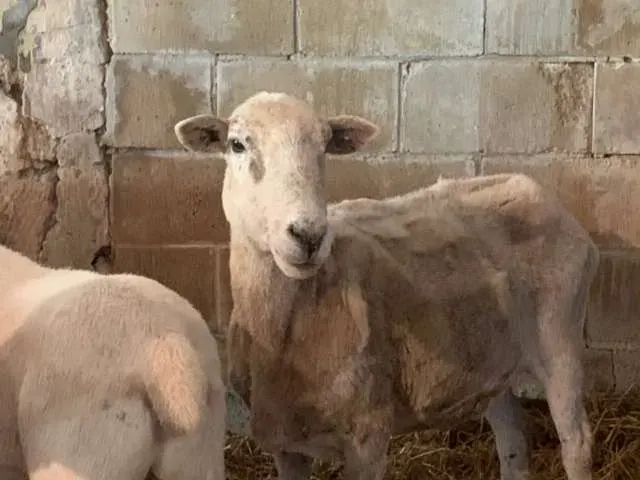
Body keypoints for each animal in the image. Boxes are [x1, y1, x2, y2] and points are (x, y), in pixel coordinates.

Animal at [174, 91, 600, 480]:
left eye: (325, 145)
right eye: (237, 144)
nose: (309, 234)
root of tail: (532, 187)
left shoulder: (368, 437)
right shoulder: (285, 443)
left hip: (560, 340)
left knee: (577, 441)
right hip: (493, 360)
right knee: (513, 442)